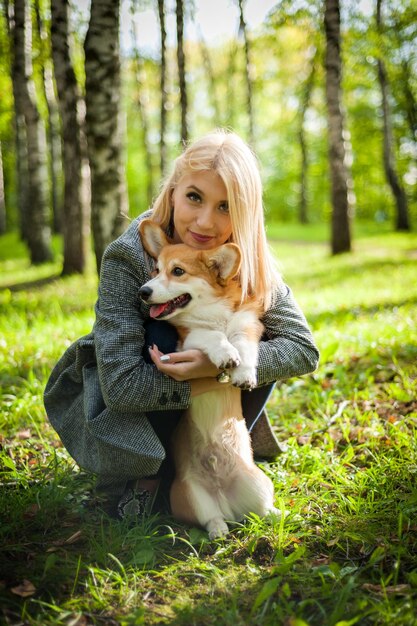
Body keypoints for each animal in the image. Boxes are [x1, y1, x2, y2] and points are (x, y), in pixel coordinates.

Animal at [139, 218, 276, 536]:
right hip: (190, 493)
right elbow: (212, 336)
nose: (143, 291)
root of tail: (224, 498)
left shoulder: (248, 326)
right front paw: (225, 355)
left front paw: (244, 373)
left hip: (258, 483)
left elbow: (244, 347)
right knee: (211, 519)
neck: (213, 313)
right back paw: (218, 531)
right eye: (155, 270)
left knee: (262, 511)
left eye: (177, 271)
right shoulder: (187, 341)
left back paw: (281, 515)